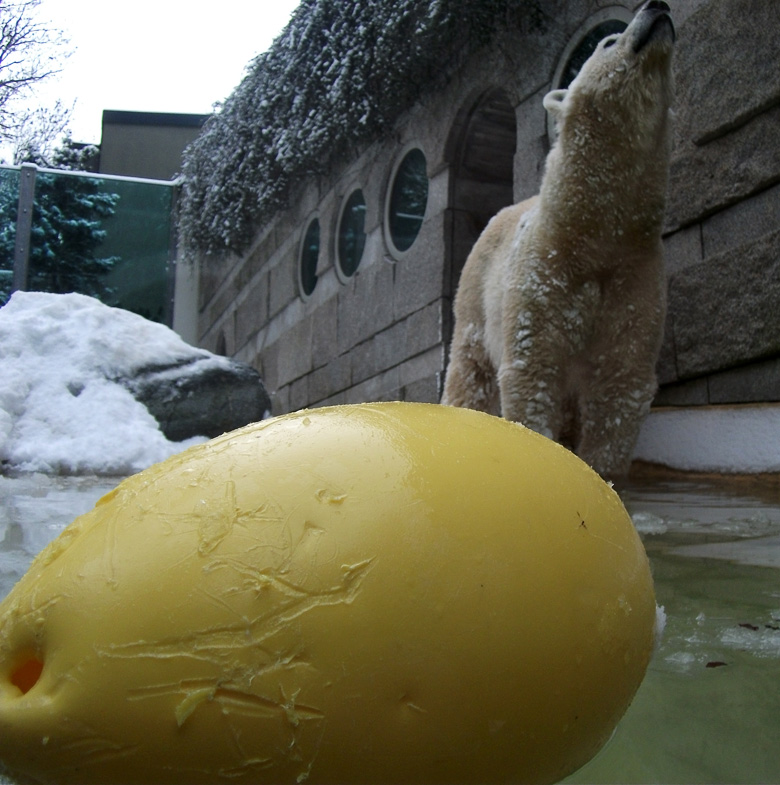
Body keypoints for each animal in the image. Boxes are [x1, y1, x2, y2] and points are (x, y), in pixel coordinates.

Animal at [442, 1, 672, 478]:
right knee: (470, 373)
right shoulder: (543, 271)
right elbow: (533, 367)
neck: (590, 232)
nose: (657, 6)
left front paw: (603, 477)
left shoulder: (635, 276)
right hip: (473, 298)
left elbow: (622, 378)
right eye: (609, 40)